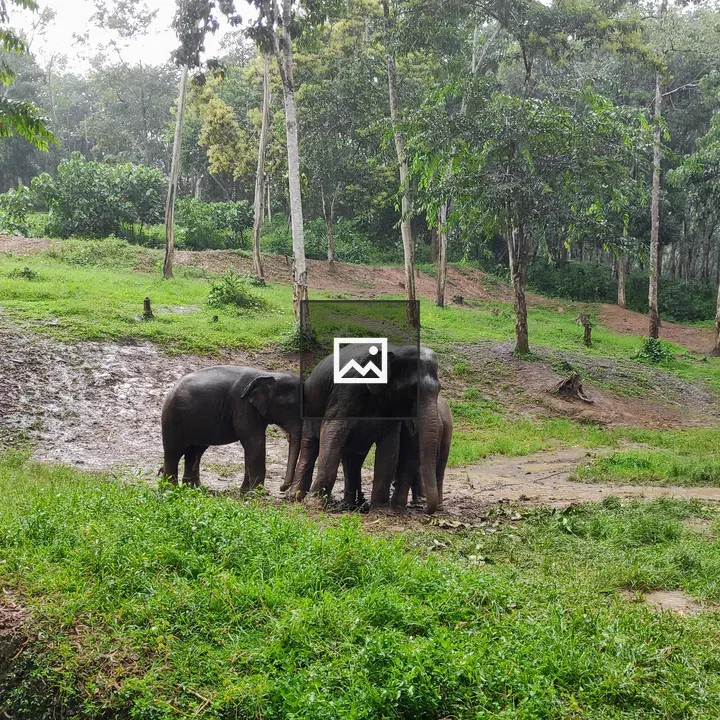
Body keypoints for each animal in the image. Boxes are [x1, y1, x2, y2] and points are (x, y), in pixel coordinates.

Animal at [161, 366, 302, 490]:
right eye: (289, 408)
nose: (282, 488)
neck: (269, 374)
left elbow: (250, 447)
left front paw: (245, 493)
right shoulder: (243, 406)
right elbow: (255, 442)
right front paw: (256, 495)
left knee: (194, 452)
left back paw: (194, 489)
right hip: (172, 417)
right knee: (173, 453)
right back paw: (171, 489)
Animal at [288, 343, 445, 514]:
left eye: (439, 389)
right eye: (412, 389)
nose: (425, 509)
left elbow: (390, 446)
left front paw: (382, 511)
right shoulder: (347, 388)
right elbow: (333, 430)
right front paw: (314, 505)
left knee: (353, 457)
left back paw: (351, 505)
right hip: (309, 408)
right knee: (311, 445)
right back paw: (295, 497)